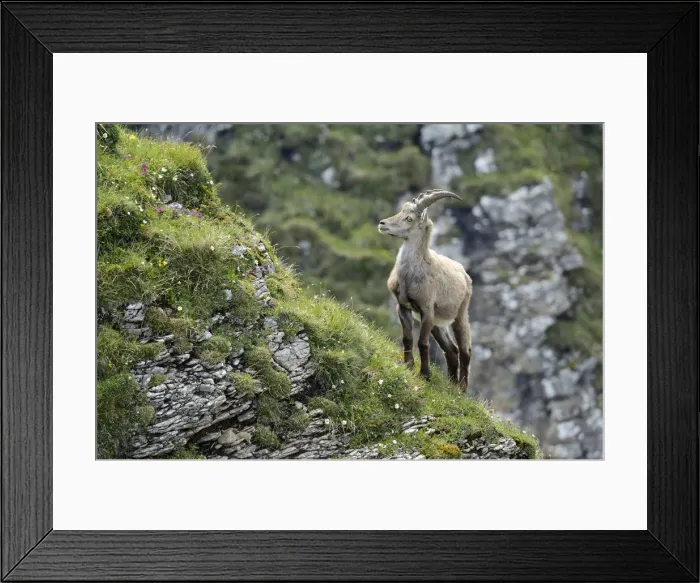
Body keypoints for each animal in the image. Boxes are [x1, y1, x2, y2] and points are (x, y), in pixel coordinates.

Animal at [378, 189, 473, 389]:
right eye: (401, 211)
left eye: (409, 218)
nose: (382, 224)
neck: (409, 276)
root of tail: (464, 274)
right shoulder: (402, 306)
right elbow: (407, 338)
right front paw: (407, 366)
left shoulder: (427, 310)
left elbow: (423, 343)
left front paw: (425, 375)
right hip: (438, 324)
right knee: (451, 350)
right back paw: (450, 385)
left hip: (460, 314)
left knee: (465, 350)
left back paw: (461, 388)